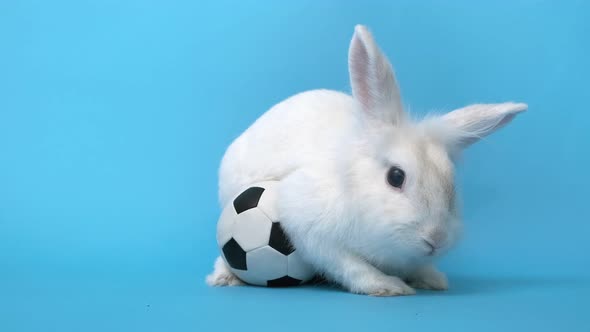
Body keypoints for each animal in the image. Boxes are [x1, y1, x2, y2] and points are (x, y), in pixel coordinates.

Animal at [207, 25, 528, 296]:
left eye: (452, 185)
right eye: (396, 177)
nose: (435, 239)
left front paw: (432, 278)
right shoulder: (308, 226)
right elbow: (349, 266)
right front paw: (387, 286)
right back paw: (224, 277)